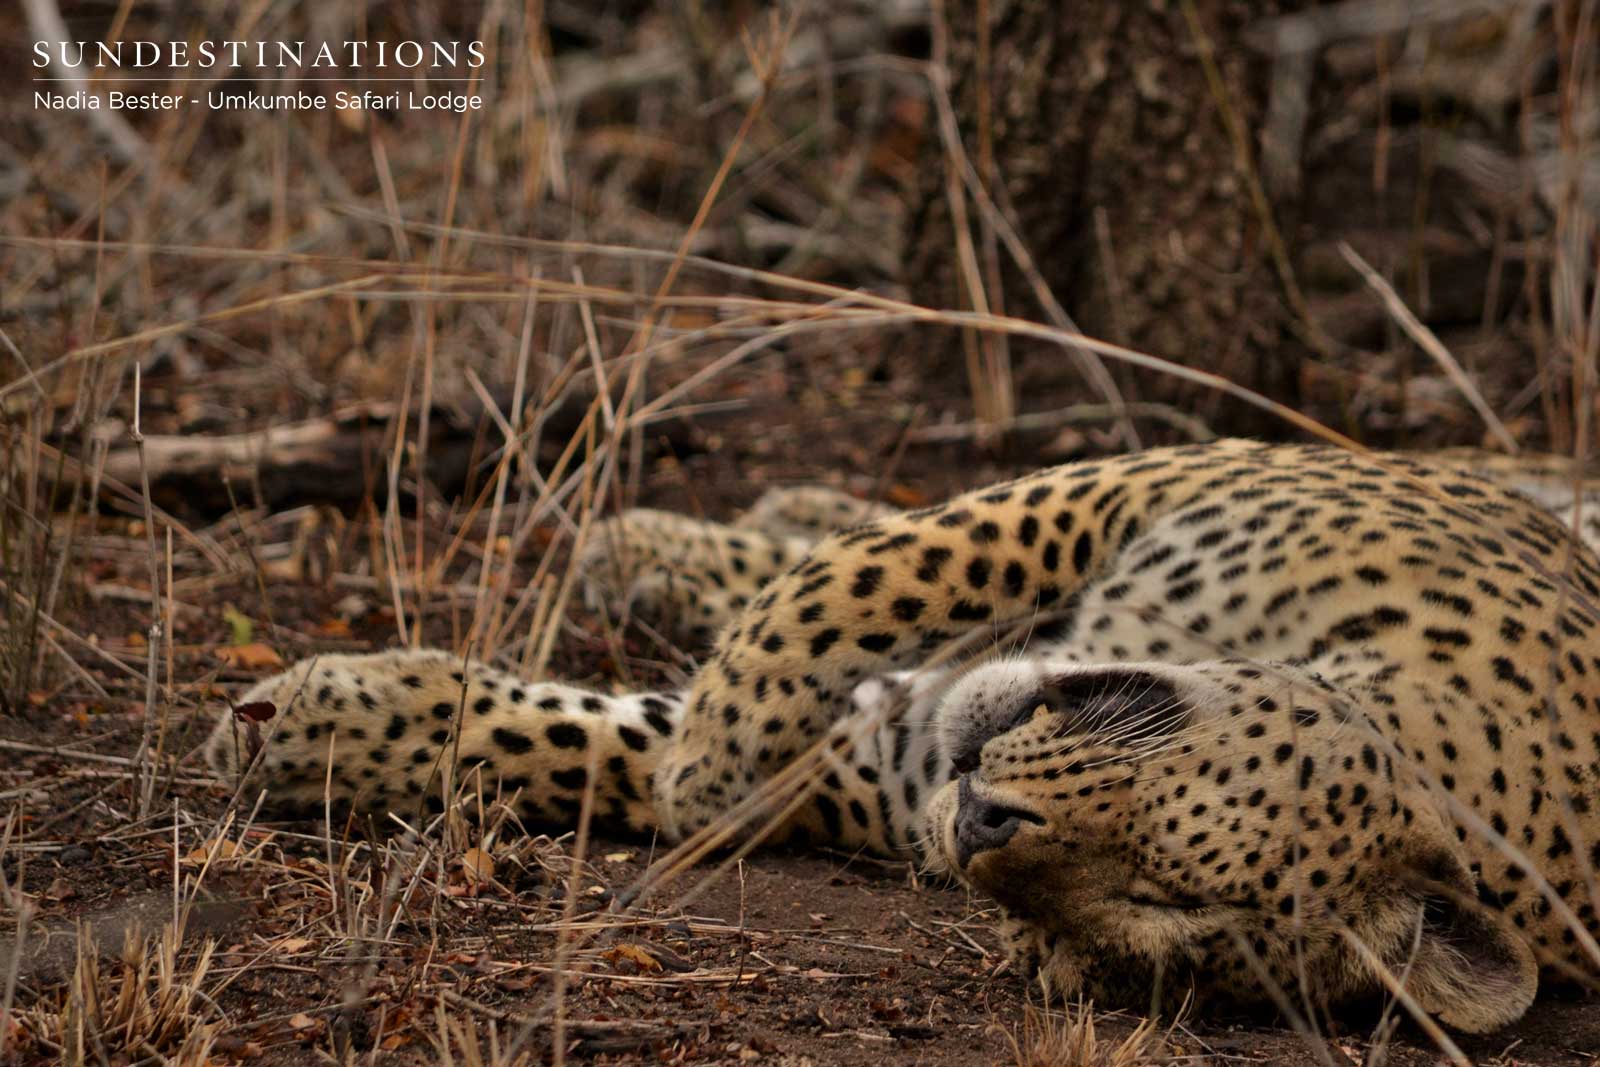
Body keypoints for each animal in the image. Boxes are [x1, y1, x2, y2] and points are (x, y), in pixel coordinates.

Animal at [205, 439, 1600, 1034]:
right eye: (1174, 851)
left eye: (1124, 915)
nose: (975, 821)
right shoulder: (1156, 476)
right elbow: (874, 572)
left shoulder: (878, 759)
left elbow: (610, 753)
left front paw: (312, 727)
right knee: (838, 532)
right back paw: (677, 535)